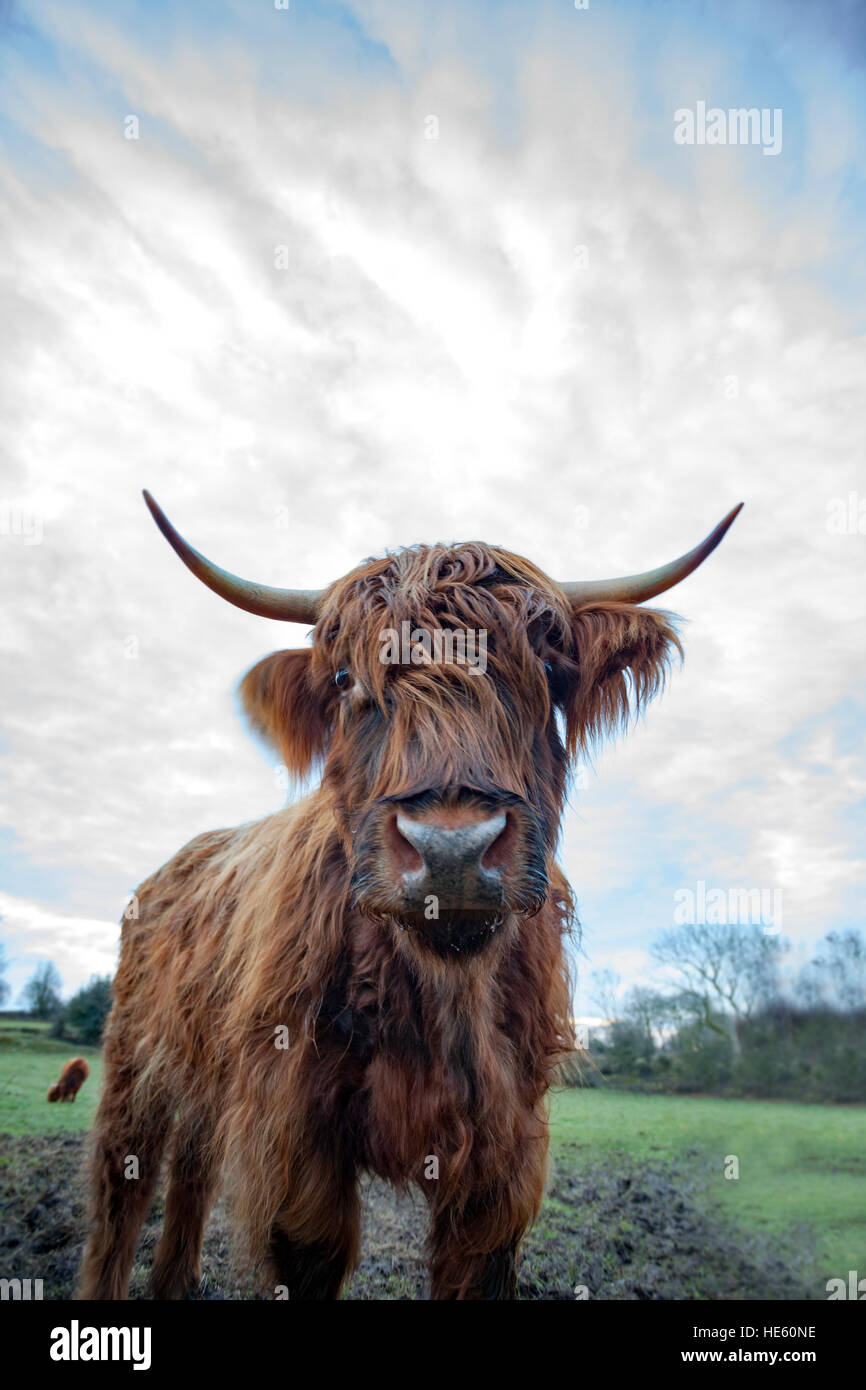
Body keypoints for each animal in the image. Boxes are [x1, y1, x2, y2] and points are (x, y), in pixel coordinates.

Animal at [78, 492, 742, 1301]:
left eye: (549, 671)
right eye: (343, 680)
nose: (451, 850)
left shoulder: (504, 1152)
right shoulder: (295, 1134)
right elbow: (309, 1256)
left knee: (192, 1172)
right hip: (135, 1064)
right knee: (122, 1185)